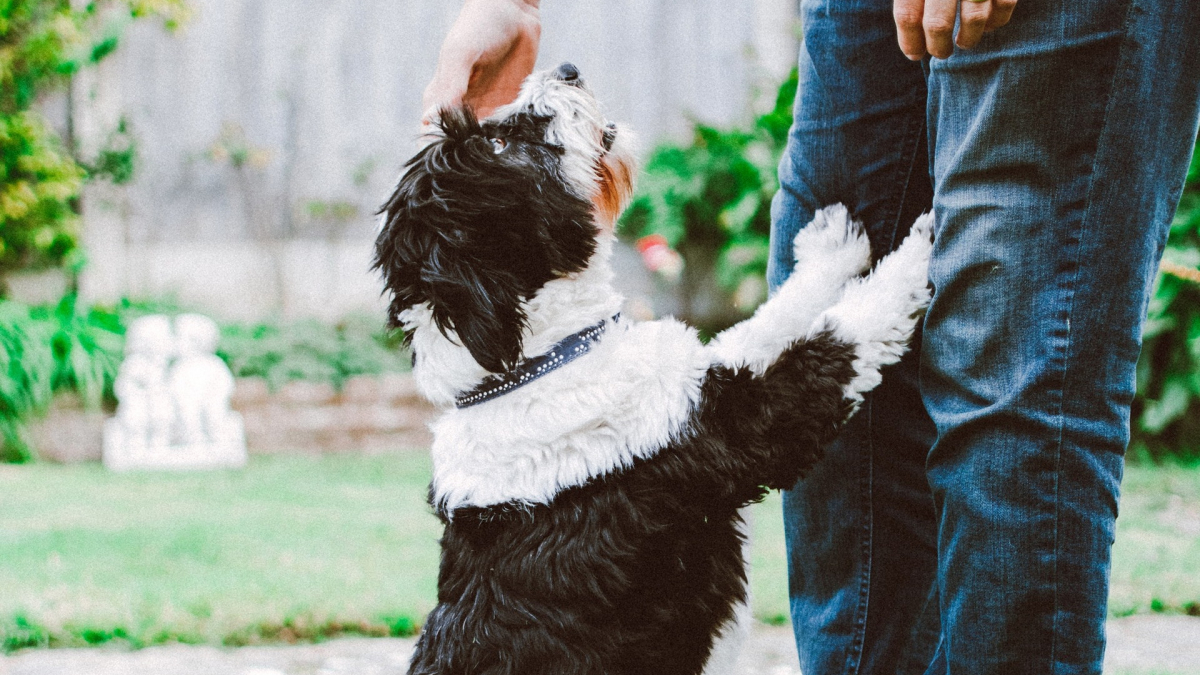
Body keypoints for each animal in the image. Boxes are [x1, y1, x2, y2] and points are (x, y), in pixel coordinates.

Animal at [374, 63, 936, 672]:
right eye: (499, 145)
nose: (566, 68)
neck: (537, 364)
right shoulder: (746, 428)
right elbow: (843, 335)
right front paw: (926, 241)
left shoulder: (702, 381)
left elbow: (766, 321)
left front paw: (831, 251)